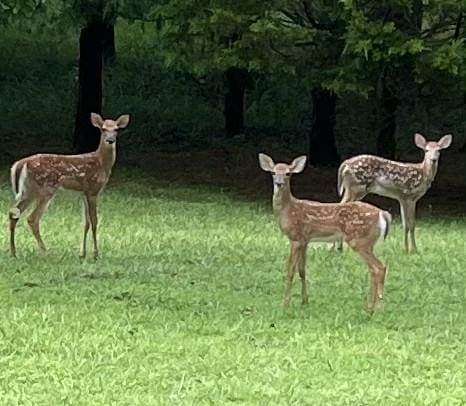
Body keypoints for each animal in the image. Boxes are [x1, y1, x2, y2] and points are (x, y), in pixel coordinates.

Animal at [9, 112, 129, 256]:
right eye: (103, 129)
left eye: (116, 129)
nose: (110, 140)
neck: (101, 163)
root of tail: (21, 163)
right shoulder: (93, 190)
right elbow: (94, 221)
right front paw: (95, 254)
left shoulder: (83, 193)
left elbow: (86, 223)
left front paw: (83, 254)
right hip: (46, 189)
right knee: (32, 218)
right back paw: (45, 251)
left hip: (28, 191)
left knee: (13, 213)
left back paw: (13, 252)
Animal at [260, 152, 392, 310]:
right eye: (273, 172)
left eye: (288, 173)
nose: (279, 183)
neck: (288, 209)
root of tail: (382, 214)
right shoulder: (305, 240)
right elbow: (302, 270)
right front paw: (304, 301)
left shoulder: (295, 238)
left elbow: (290, 271)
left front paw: (285, 303)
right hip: (367, 242)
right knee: (374, 269)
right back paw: (369, 306)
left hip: (358, 240)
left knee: (379, 267)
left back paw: (377, 308)